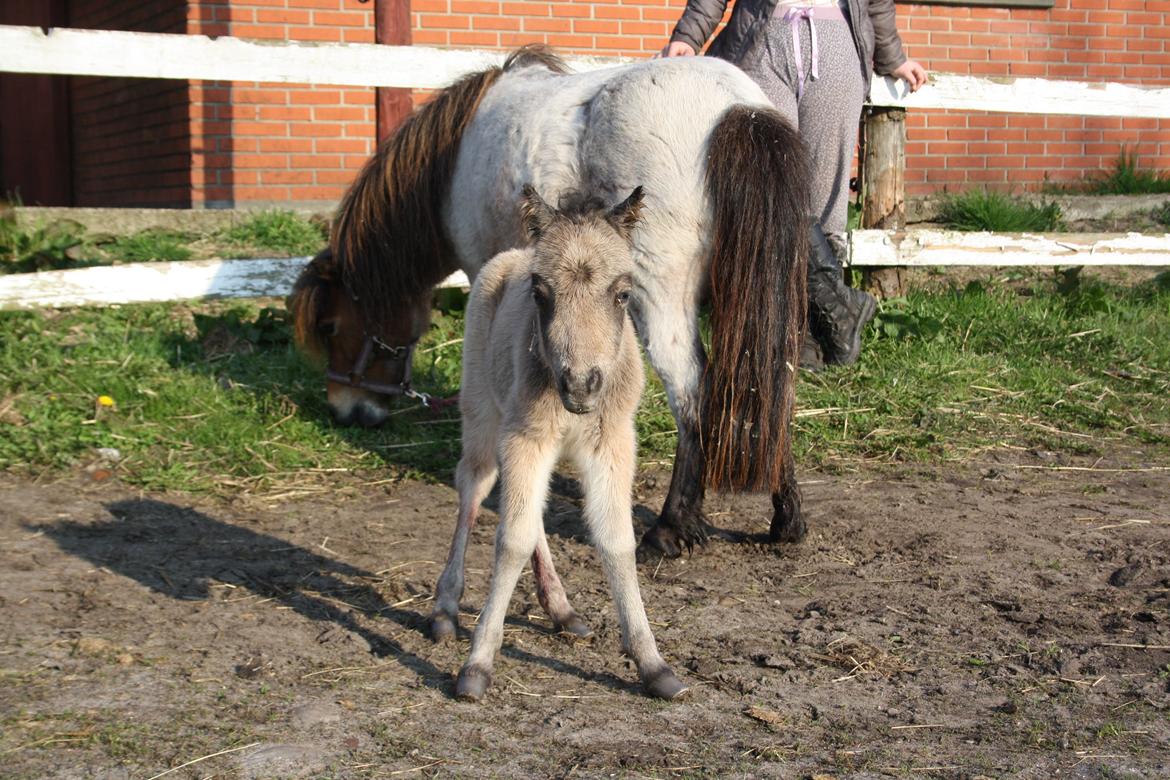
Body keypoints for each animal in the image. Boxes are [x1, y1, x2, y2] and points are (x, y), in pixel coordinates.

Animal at [287, 45, 809, 561]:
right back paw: (786, 520)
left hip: (662, 303)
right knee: (771, 382)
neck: (453, 162)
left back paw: (669, 526)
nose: (345, 410)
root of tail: (735, 108)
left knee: (691, 394)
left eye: (331, 326)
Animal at [430, 187, 683, 701]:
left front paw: (652, 663)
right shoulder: (525, 437)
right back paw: (446, 608)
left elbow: (615, 541)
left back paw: (561, 608)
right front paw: (477, 664)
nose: (581, 384)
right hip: (483, 413)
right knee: (475, 485)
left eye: (623, 294)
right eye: (540, 294)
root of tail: (509, 255)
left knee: (531, 510)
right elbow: (511, 541)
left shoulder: (613, 444)